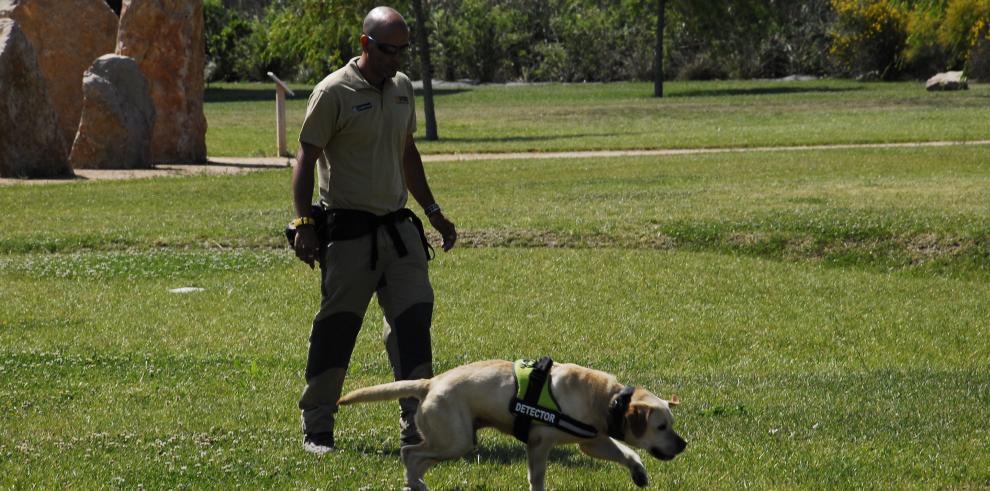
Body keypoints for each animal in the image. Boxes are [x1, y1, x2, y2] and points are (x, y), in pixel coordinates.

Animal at [338, 360, 684, 490]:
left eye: (671, 424)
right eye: (661, 427)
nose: (683, 444)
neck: (608, 399)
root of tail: (430, 382)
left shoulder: (593, 441)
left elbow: (628, 453)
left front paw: (639, 472)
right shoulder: (539, 445)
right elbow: (537, 479)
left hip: (450, 440)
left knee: (414, 456)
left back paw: (416, 483)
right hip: (455, 440)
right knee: (410, 453)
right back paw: (415, 483)